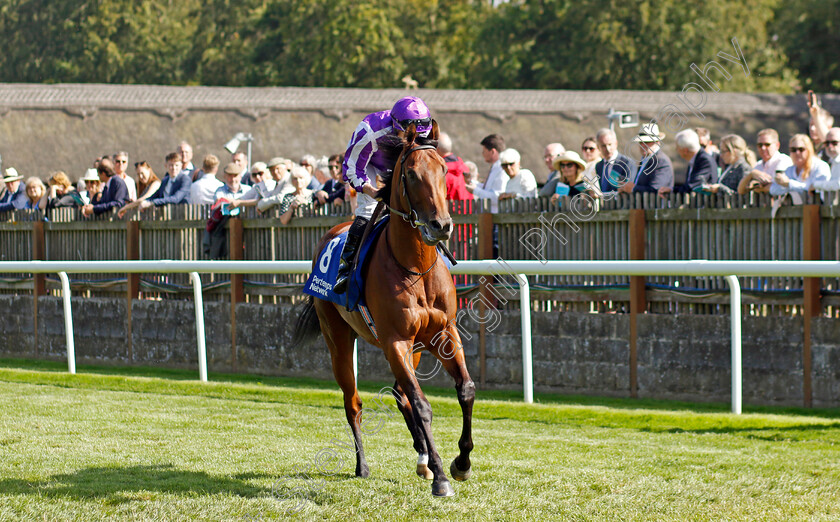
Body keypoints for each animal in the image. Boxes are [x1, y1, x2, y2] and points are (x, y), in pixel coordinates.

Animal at [294, 120, 476, 494]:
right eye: (410, 173)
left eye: (444, 169)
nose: (441, 225)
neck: (415, 267)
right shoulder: (395, 341)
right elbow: (422, 405)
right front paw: (441, 477)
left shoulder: (444, 334)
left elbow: (465, 390)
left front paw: (461, 464)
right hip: (339, 341)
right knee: (354, 403)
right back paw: (363, 465)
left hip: (416, 348)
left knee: (399, 393)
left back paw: (422, 458)